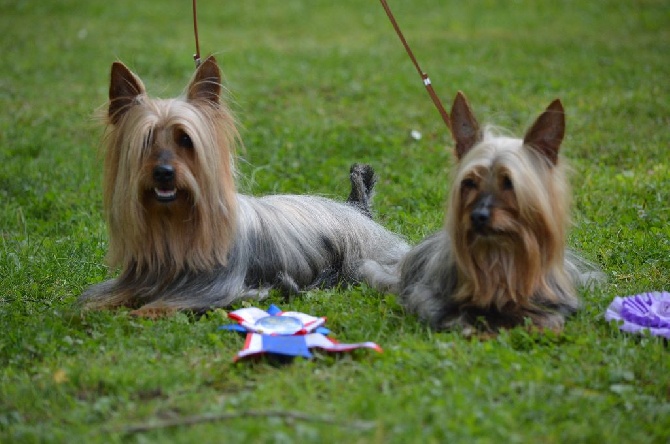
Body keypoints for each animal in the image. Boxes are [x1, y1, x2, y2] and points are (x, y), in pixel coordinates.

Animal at [76, 56, 406, 316]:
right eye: (145, 141)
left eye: (186, 139)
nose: (164, 173)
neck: (174, 225)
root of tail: (356, 208)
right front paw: (92, 308)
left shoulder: (223, 291)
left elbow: (168, 304)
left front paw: (143, 311)